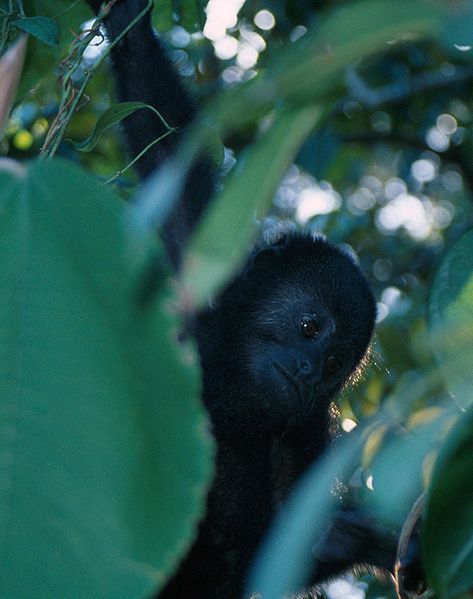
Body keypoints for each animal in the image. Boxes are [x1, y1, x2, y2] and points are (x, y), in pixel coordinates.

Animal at [83, 2, 396, 596]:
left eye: (333, 363)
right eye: (308, 327)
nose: (306, 369)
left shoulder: (305, 432)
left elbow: (273, 555)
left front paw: (343, 541)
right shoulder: (199, 284)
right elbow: (168, 148)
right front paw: (129, 23)